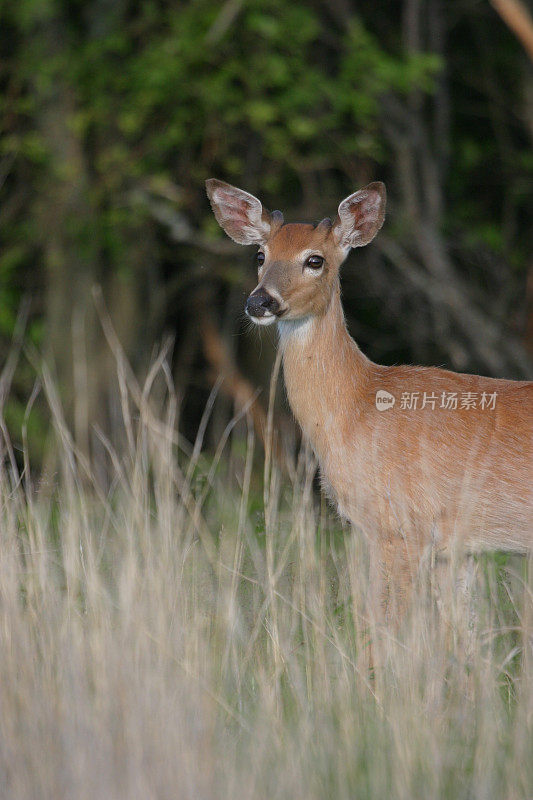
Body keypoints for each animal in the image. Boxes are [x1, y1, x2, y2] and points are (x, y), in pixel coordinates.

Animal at [205, 180, 532, 624]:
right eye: (260, 255)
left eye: (315, 260)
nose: (259, 301)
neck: (358, 406)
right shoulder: (455, 546)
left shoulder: (399, 525)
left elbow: (385, 627)